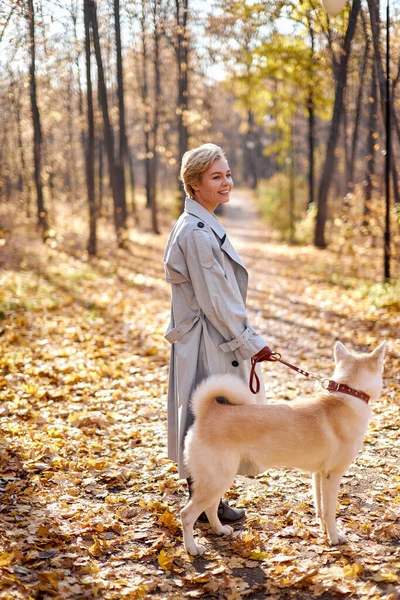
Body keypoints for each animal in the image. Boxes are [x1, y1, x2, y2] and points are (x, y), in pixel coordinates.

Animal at [181, 340, 384, 556]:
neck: (348, 396)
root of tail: (209, 411)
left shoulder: (319, 475)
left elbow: (320, 508)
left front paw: (324, 532)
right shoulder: (333, 475)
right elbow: (330, 511)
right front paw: (335, 538)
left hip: (220, 479)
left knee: (210, 509)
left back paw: (220, 530)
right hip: (217, 480)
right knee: (187, 514)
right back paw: (192, 548)